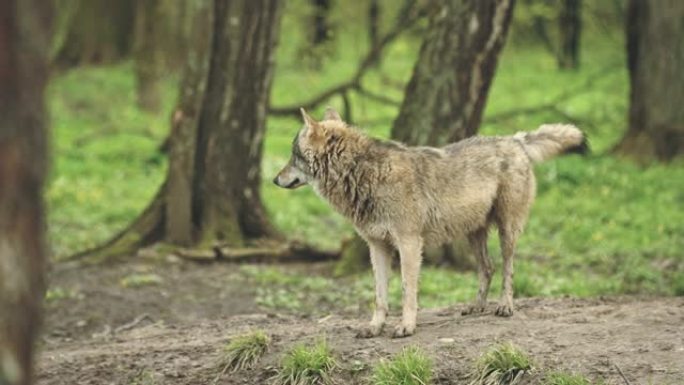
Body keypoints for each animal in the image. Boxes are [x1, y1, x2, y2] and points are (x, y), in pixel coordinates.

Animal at [274, 106, 588, 338]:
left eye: (293, 156)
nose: (275, 179)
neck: (363, 173)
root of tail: (514, 140)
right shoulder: (377, 247)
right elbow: (379, 295)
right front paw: (374, 328)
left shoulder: (410, 244)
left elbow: (407, 292)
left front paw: (406, 327)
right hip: (472, 234)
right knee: (488, 267)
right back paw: (476, 307)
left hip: (507, 230)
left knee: (508, 268)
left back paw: (504, 306)